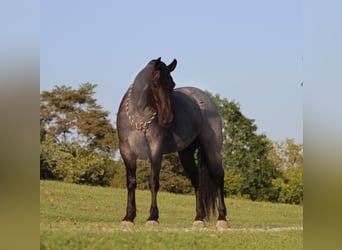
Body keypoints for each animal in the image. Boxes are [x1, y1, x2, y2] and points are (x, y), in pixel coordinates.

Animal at [117, 57, 227, 229]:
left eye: (173, 84)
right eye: (156, 83)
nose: (167, 118)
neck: (139, 118)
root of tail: (205, 98)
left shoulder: (155, 151)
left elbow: (153, 182)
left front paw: (152, 218)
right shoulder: (127, 152)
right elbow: (131, 183)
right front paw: (128, 218)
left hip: (212, 148)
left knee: (218, 177)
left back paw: (222, 219)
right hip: (186, 153)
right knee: (197, 181)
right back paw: (198, 218)